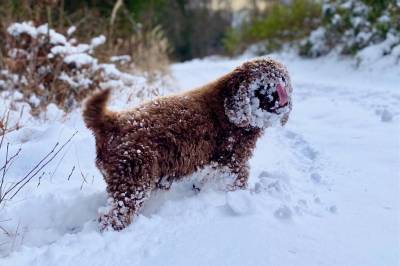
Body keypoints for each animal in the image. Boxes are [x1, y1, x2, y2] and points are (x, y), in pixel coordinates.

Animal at [83, 58, 292, 231]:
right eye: (264, 82)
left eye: (282, 78)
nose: (281, 94)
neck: (229, 107)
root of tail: (112, 122)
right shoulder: (234, 160)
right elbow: (238, 179)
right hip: (133, 182)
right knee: (113, 216)